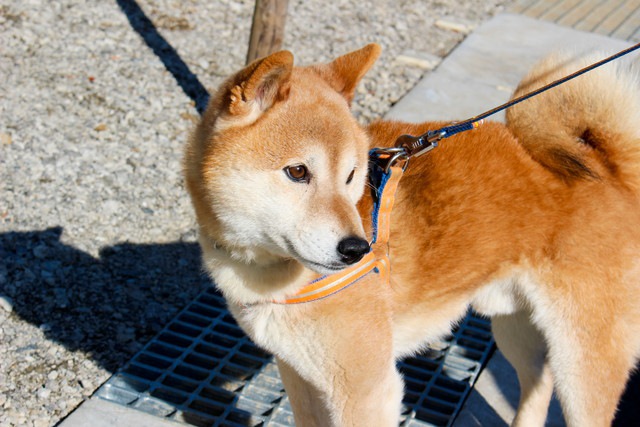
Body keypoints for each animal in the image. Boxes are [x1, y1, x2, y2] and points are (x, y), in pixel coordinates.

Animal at [182, 44, 640, 427]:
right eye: (297, 171)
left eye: (350, 175)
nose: (356, 249)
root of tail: (610, 169)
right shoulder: (300, 374)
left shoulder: (366, 391)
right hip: (515, 329)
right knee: (537, 385)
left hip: (583, 364)